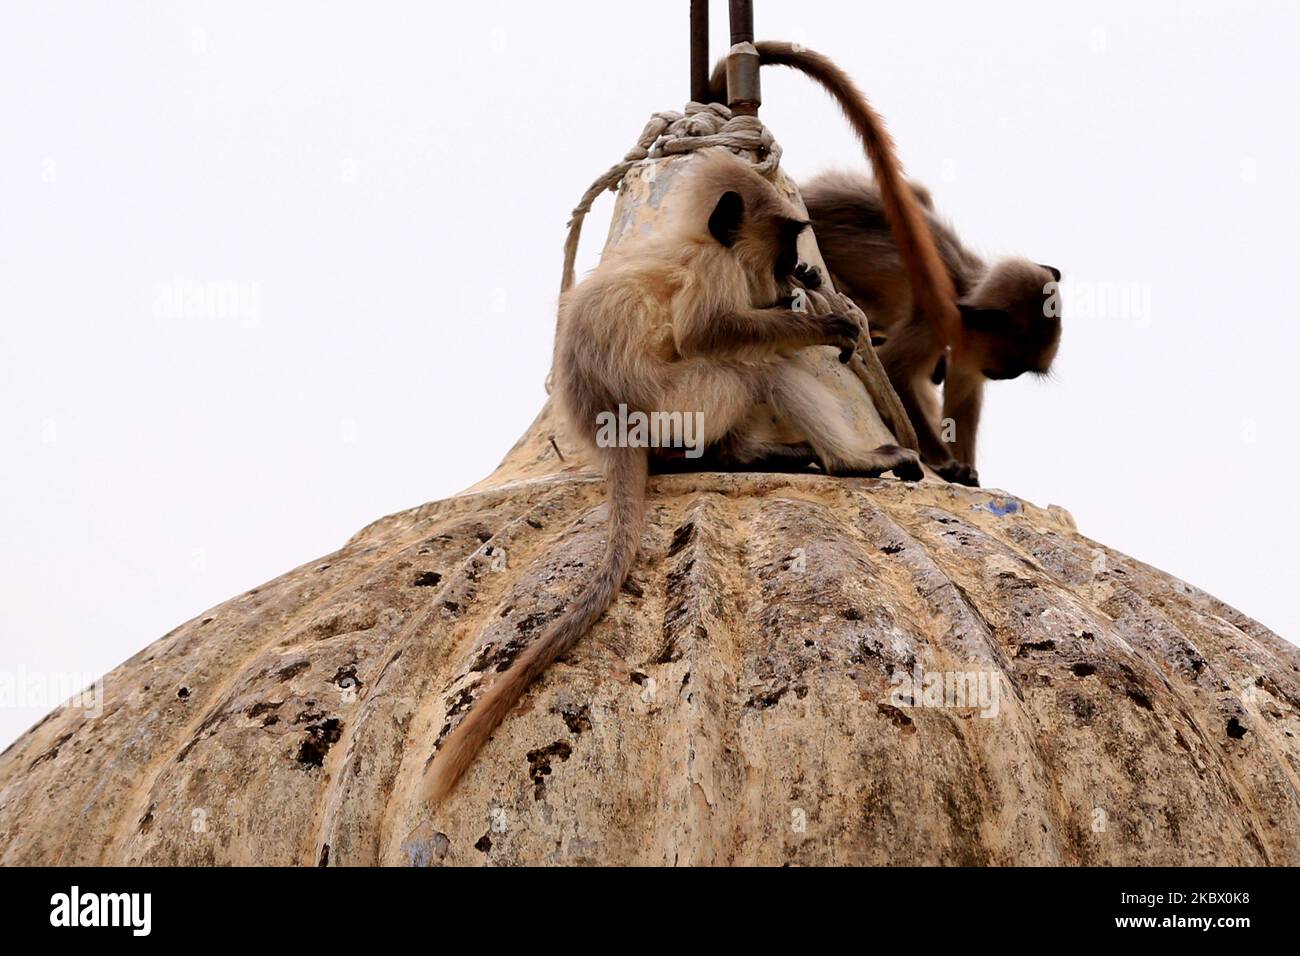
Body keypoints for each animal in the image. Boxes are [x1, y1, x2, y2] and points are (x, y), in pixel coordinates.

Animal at [423, 151, 915, 801]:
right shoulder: (713, 270)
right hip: (682, 405)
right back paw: (847, 461)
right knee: (754, 368)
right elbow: (707, 332)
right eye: (787, 238)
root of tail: (613, 435)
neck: (700, 241)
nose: (795, 269)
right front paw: (827, 326)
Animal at [712, 41, 1066, 486]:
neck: (964, 285)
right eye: (1013, 367)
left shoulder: (966, 341)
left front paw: (964, 466)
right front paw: (944, 463)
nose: (1006, 376)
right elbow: (899, 372)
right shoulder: (937, 321)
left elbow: (964, 389)